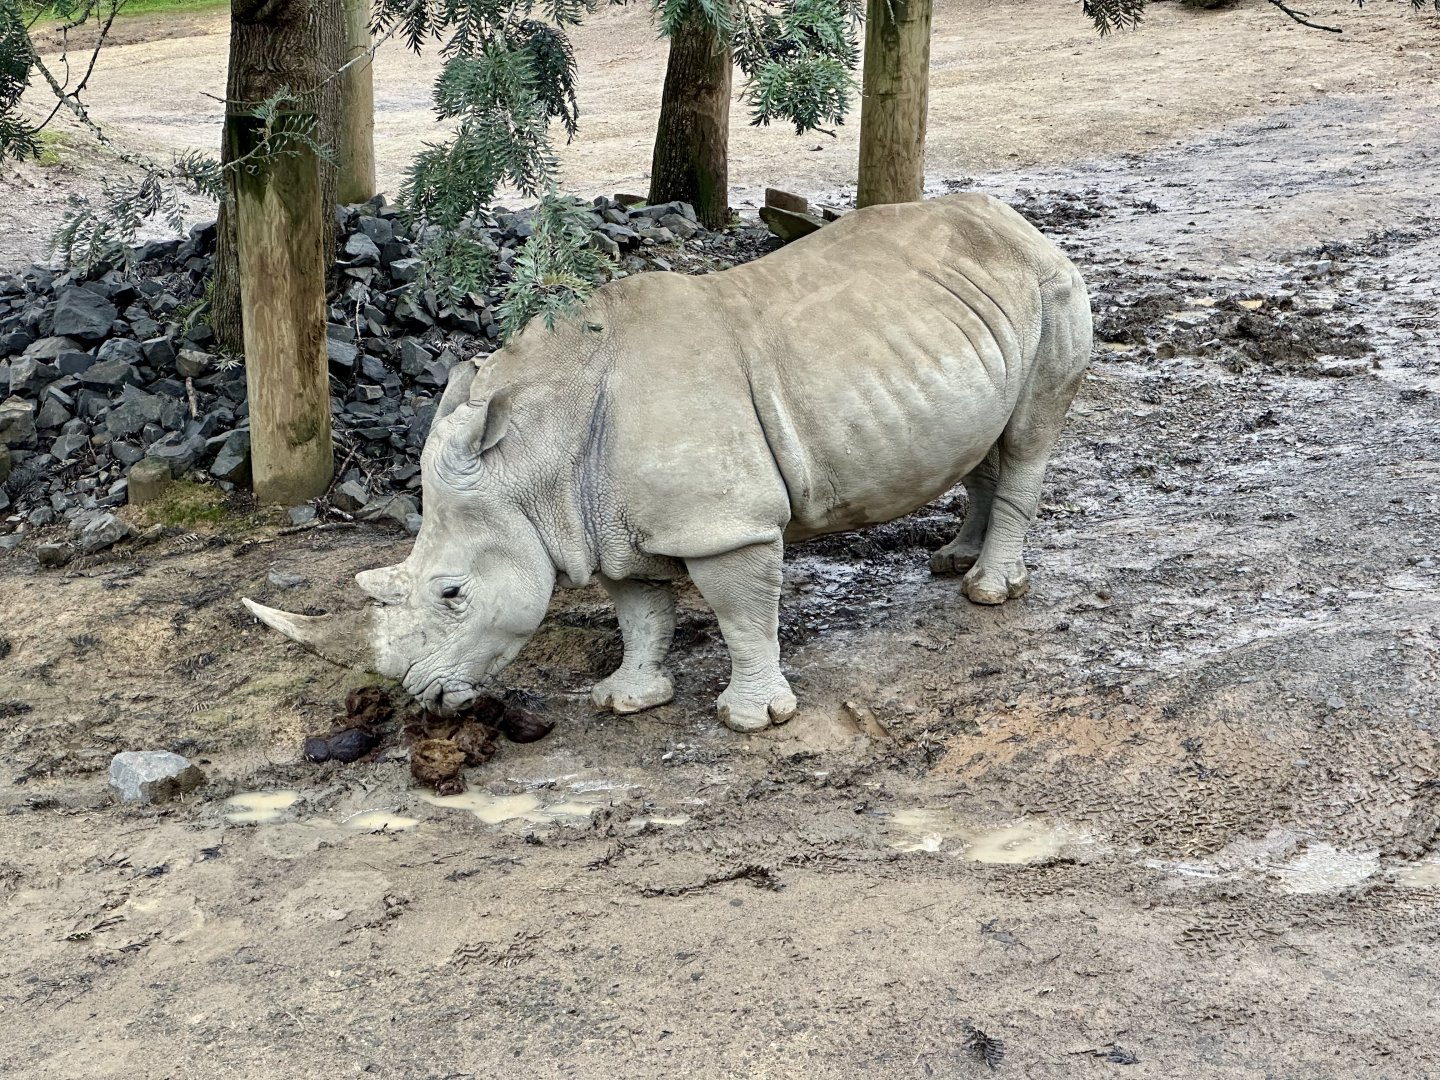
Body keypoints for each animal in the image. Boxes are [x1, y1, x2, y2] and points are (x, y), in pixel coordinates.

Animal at [245, 194, 1093, 733]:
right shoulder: (599, 517)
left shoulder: (724, 524)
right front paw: (626, 701)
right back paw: (952, 560)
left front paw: (754, 720)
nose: (425, 699)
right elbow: (640, 610)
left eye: (452, 594)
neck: (533, 454)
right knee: (984, 438)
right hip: (968, 311)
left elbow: (742, 616)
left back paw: (988, 592)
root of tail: (1016, 221)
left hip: (1052, 284)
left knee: (1027, 438)